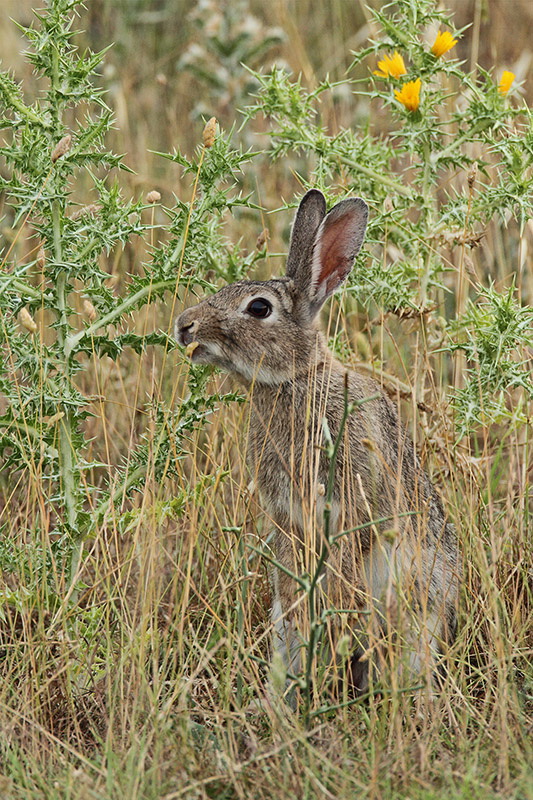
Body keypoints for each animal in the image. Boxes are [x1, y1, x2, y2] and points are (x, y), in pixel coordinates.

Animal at [176, 189, 458, 700]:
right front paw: (302, 610)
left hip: (416, 615)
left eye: (259, 308)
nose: (185, 326)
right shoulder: (287, 516)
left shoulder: (350, 504)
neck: (295, 379)